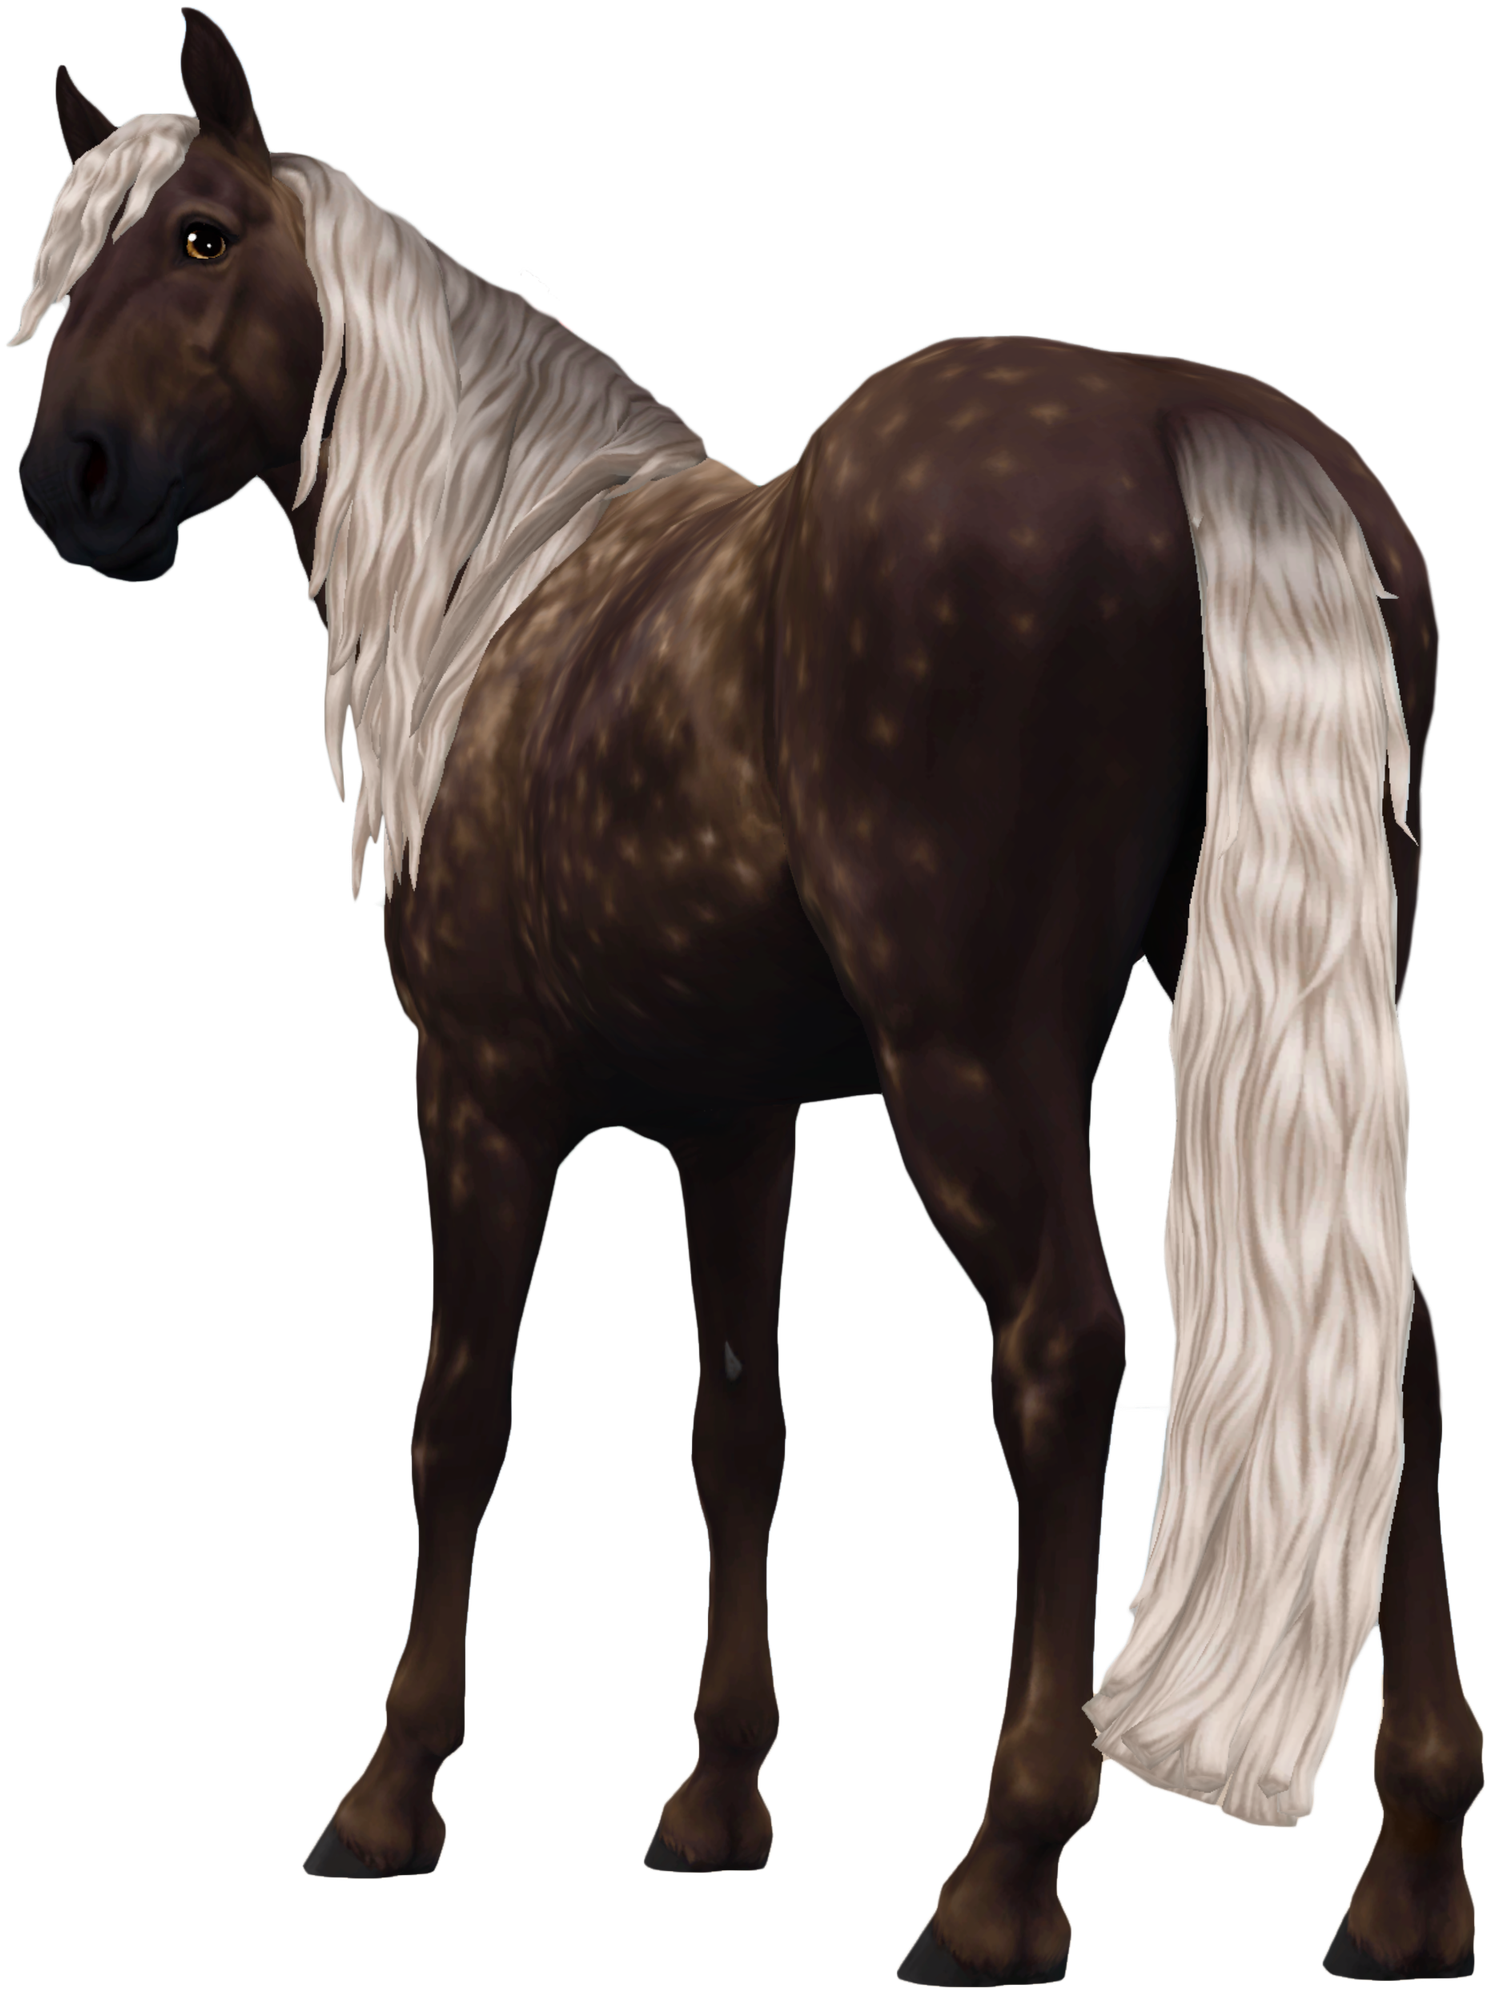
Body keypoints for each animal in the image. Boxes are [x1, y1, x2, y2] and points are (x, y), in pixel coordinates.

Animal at [11, 10, 1480, 1982]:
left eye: (199, 237)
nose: (68, 479)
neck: (504, 584)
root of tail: (1178, 417)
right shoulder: (735, 1121)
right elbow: (735, 1427)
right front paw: (713, 1805)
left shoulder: (480, 1092)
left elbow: (458, 1415)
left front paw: (387, 1798)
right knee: (1390, 1339)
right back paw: (1410, 1881)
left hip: (972, 1065)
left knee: (1064, 1350)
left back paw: (1002, 1878)